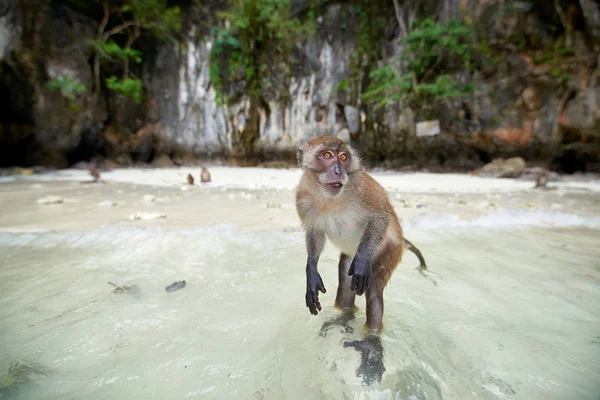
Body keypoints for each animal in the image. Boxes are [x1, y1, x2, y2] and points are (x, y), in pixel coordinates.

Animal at [296, 136, 426, 332]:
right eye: (327, 155)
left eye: (343, 157)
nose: (338, 171)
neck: (331, 198)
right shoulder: (303, 197)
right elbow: (314, 232)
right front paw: (311, 270)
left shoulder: (363, 187)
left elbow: (379, 217)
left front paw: (363, 259)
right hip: (350, 257)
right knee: (345, 281)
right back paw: (343, 315)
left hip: (390, 251)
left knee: (373, 289)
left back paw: (371, 333)